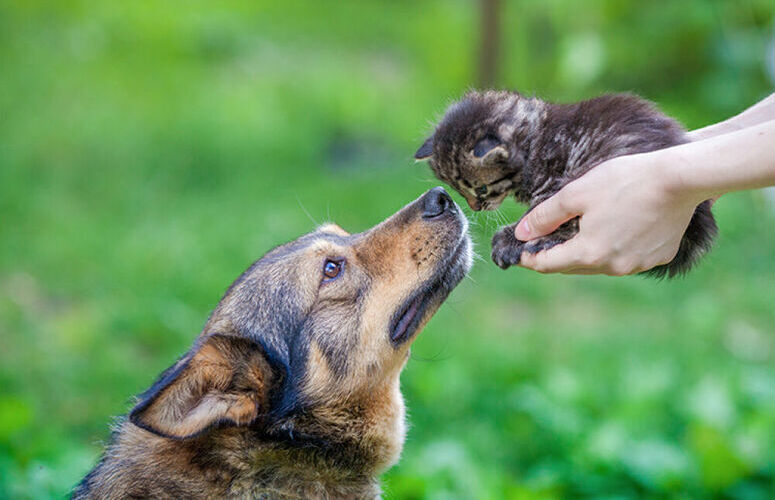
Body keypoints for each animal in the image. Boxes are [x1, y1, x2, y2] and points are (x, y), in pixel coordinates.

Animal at [416, 90, 720, 278]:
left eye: (479, 189)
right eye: (460, 191)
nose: (476, 207)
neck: (535, 138)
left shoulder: (554, 184)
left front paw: (514, 238)